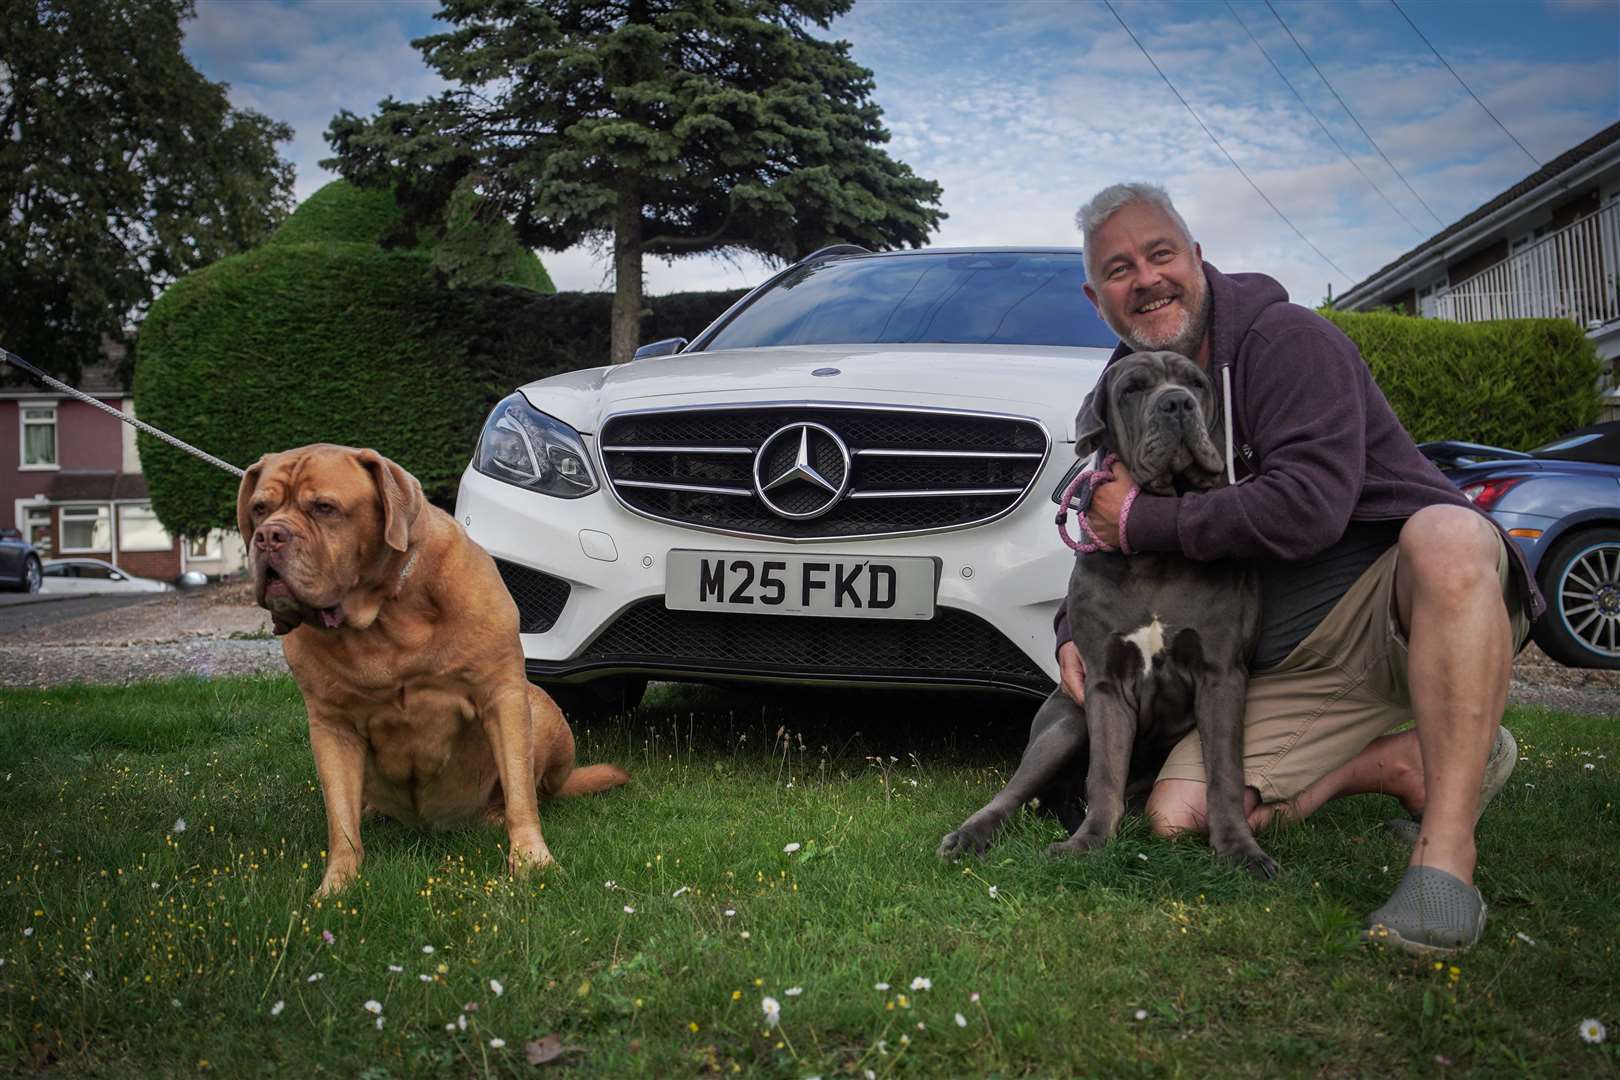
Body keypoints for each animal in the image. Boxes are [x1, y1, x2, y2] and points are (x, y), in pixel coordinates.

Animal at [236, 443, 628, 900]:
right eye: (260, 509)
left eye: (325, 508)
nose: (268, 536)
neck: (383, 617)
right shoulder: (331, 726)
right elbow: (341, 822)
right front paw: (335, 887)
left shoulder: (502, 695)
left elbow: (520, 794)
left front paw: (533, 861)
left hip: (544, 712)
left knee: (533, 789)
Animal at [939, 352, 1276, 880]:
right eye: (1132, 389)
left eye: (1197, 383)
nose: (1177, 403)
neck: (1156, 555)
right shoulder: (1104, 681)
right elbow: (1104, 772)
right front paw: (1088, 843)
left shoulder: (1221, 674)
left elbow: (1224, 773)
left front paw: (1240, 850)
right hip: (1063, 722)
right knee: (1013, 792)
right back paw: (969, 836)